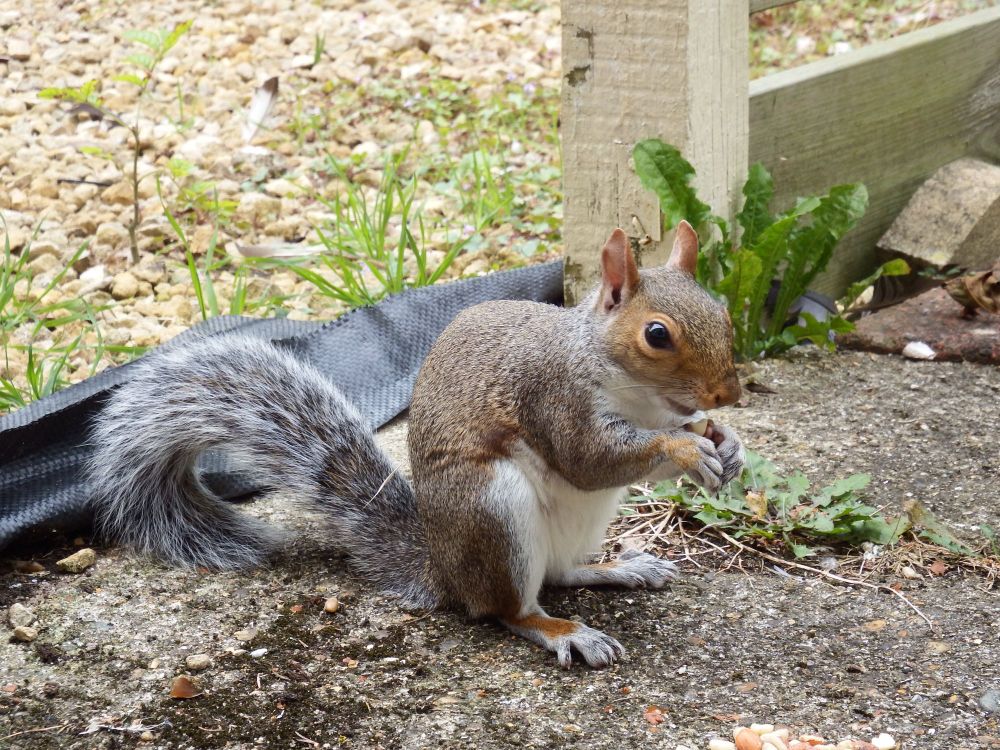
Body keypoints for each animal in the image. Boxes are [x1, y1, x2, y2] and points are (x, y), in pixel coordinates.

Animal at [88, 220, 744, 669]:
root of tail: (446, 570)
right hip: (494, 512)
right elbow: (589, 459)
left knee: (559, 573)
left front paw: (726, 442)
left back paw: (618, 567)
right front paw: (688, 450)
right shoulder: (551, 396)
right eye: (656, 334)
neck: (639, 399)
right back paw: (565, 631)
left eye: (724, 312)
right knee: (510, 609)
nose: (729, 393)